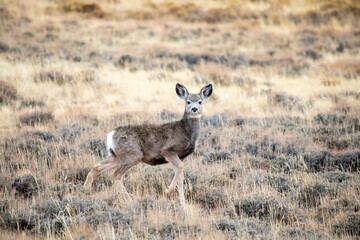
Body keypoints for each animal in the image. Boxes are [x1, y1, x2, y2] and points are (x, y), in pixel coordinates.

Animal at [84, 82, 214, 204]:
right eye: (188, 101)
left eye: (200, 102)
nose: (194, 109)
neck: (186, 133)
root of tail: (111, 135)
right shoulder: (168, 150)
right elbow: (181, 168)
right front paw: (168, 190)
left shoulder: (179, 156)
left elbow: (180, 176)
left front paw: (182, 202)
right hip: (133, 155)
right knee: (116, 175)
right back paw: (129, 198)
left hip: (117, 155)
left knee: (97, 167)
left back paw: (86, 190)